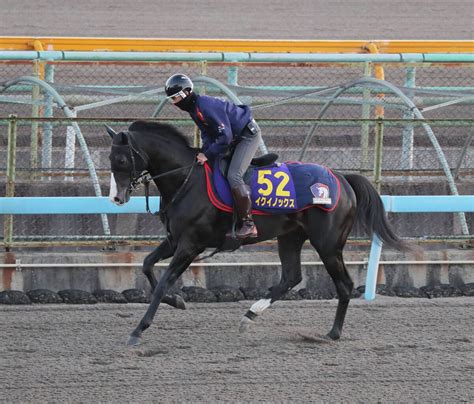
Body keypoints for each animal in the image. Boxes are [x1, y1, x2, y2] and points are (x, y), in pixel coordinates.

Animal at [107, 120, 408, 348]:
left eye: (120, 158)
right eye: (110, 158)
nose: (116, 198)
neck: (187, 180)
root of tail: (342, 179)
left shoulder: (191, 245)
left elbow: (161, 284)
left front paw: (138, 330)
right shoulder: (175, 241)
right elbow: (147, 266)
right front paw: (178, 301)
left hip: (328, 243)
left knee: (344, 285)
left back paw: (332, 333)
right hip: (290, 237)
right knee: (291, 277)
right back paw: (250, 314)